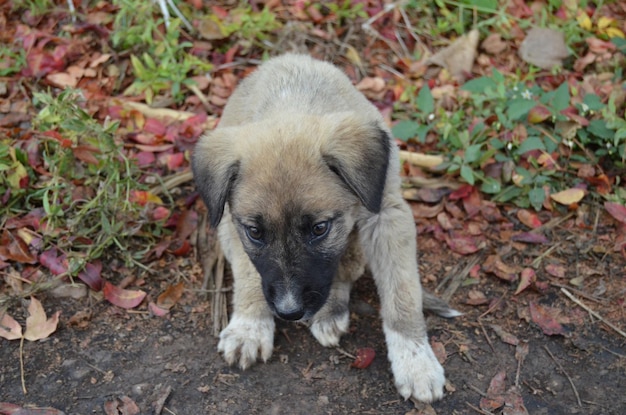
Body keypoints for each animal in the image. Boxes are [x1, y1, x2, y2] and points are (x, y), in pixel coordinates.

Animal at [191, 52, 458, 404]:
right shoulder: (231, 226)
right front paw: (249, 326)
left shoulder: (386, 216)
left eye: (319, 229)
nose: (290, 312)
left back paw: (331, 310)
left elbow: (402, 291)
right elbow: (249, 273)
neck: (292, 102)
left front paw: (415, 360)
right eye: (256, 233)